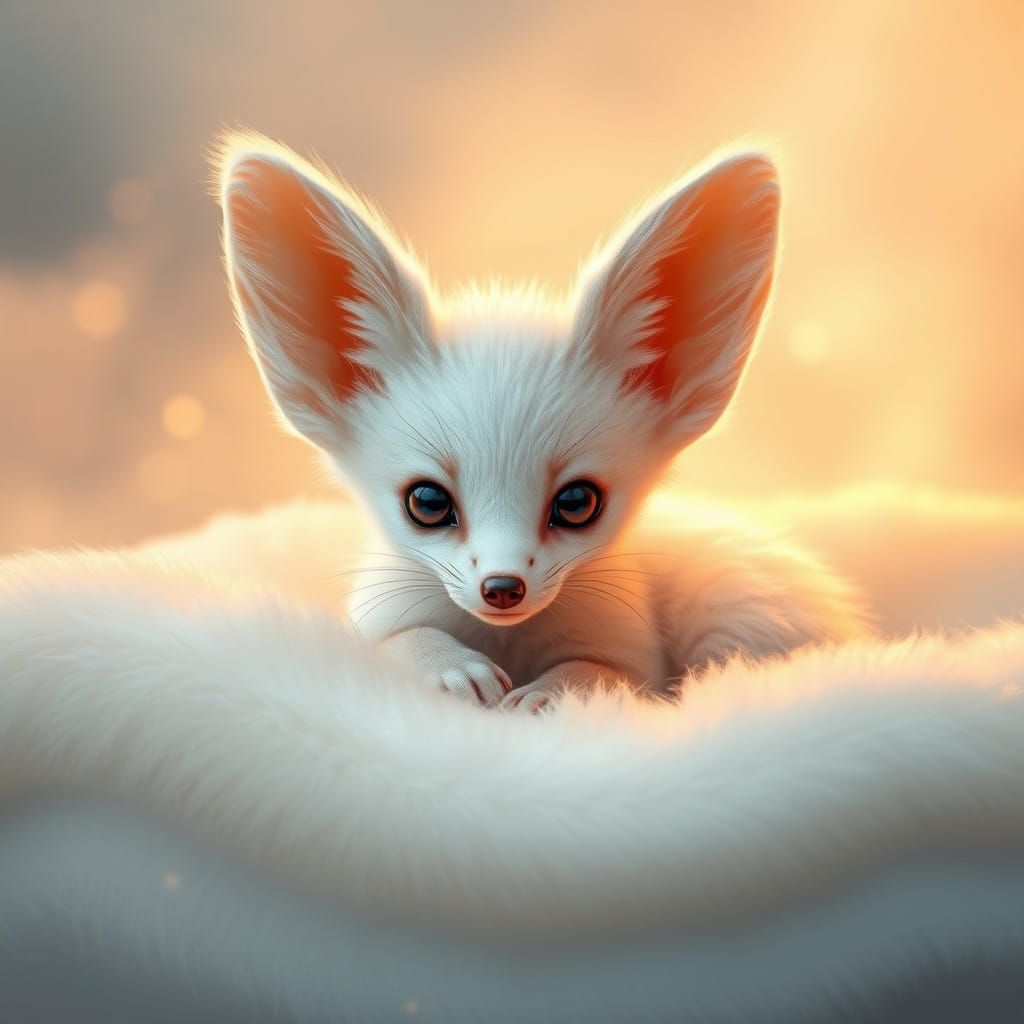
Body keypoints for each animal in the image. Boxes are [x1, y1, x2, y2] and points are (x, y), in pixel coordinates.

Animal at [218, 135, 868, 712]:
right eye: (426, 502)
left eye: (578, 502)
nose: (502, 587)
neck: (509, 641)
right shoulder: (376, 620)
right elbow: (403, 641)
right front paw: (455, 669)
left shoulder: (636, 659)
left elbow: (599, 672)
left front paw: (549, 693)